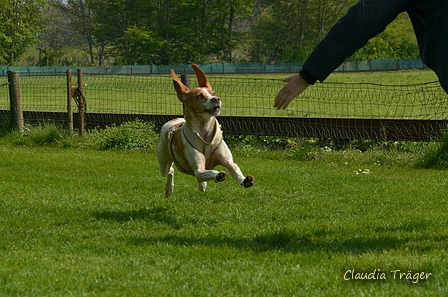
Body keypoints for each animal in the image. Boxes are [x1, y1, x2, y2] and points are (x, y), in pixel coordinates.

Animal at [157, 63, 256, 195]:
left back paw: (202, 185)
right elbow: (207, 172)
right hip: (163, 162)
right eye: (199, 96)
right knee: (170, 171)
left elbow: (234, 168)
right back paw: (169, 188)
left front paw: (245, 180)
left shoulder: (227, 161)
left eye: (213, 93)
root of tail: (172, 121)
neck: (205, 130)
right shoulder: (199, 168)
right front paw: (218, 175)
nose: (216, 99)